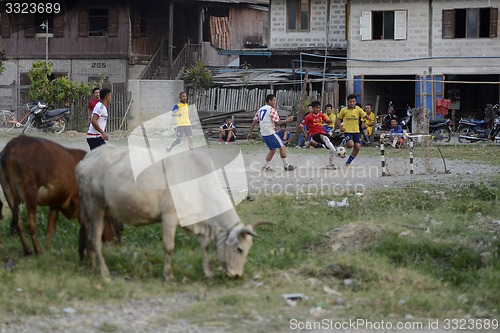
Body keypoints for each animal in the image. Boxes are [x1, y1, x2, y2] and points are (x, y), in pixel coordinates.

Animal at [75, 144, 270, 278]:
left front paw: (207, 272)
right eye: (239, 249)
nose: (236, 275)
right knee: (95, 239)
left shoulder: (195, 221)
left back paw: (92, 266)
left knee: (88, 237)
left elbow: (205, 246)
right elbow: (169, 247)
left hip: (98, 211)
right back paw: (104, 272)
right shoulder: (169, 216)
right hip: (96, 207)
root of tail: (86, 160)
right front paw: (168, 276)